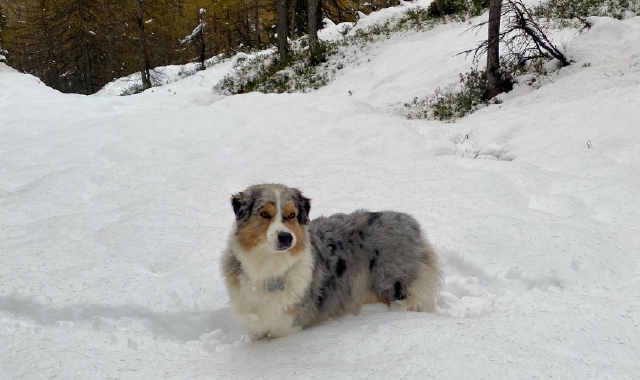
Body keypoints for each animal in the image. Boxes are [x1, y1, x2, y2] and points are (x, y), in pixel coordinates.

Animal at [221, 184, 440, 338]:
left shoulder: (288, 324)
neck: (270, 270)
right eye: (264, 214)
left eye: (291, 215)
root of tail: (411, 223)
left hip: (394, 285)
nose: (286, 238)